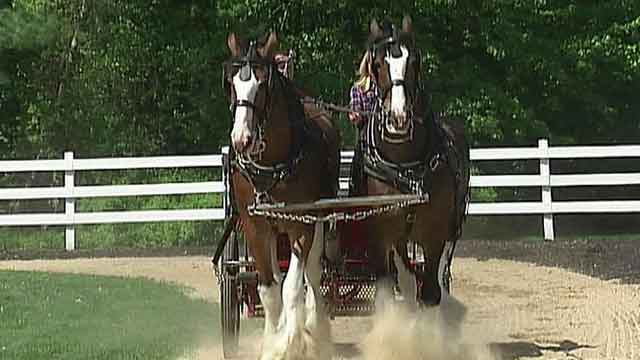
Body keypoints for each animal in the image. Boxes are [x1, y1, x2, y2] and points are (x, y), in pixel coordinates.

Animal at [224, 32, 340, 358]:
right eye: (231, 83)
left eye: (262, 85)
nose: (241, 139)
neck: (273, 163)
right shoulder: (255, 226)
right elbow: (269, 289)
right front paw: (271, 343)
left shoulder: (301, 225)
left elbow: (292, 287)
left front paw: (290, 340)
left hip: (317, 219)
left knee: (311, 272)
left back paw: (312, 326)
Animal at [358, 17, 472, 312]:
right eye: (377, 64)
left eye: (414, 62)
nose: (398, 118)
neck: (404, 167)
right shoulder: (381, 236)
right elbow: (389, 288)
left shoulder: (434, 235)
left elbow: (430, 291)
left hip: (451, 229)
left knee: (438, 278)